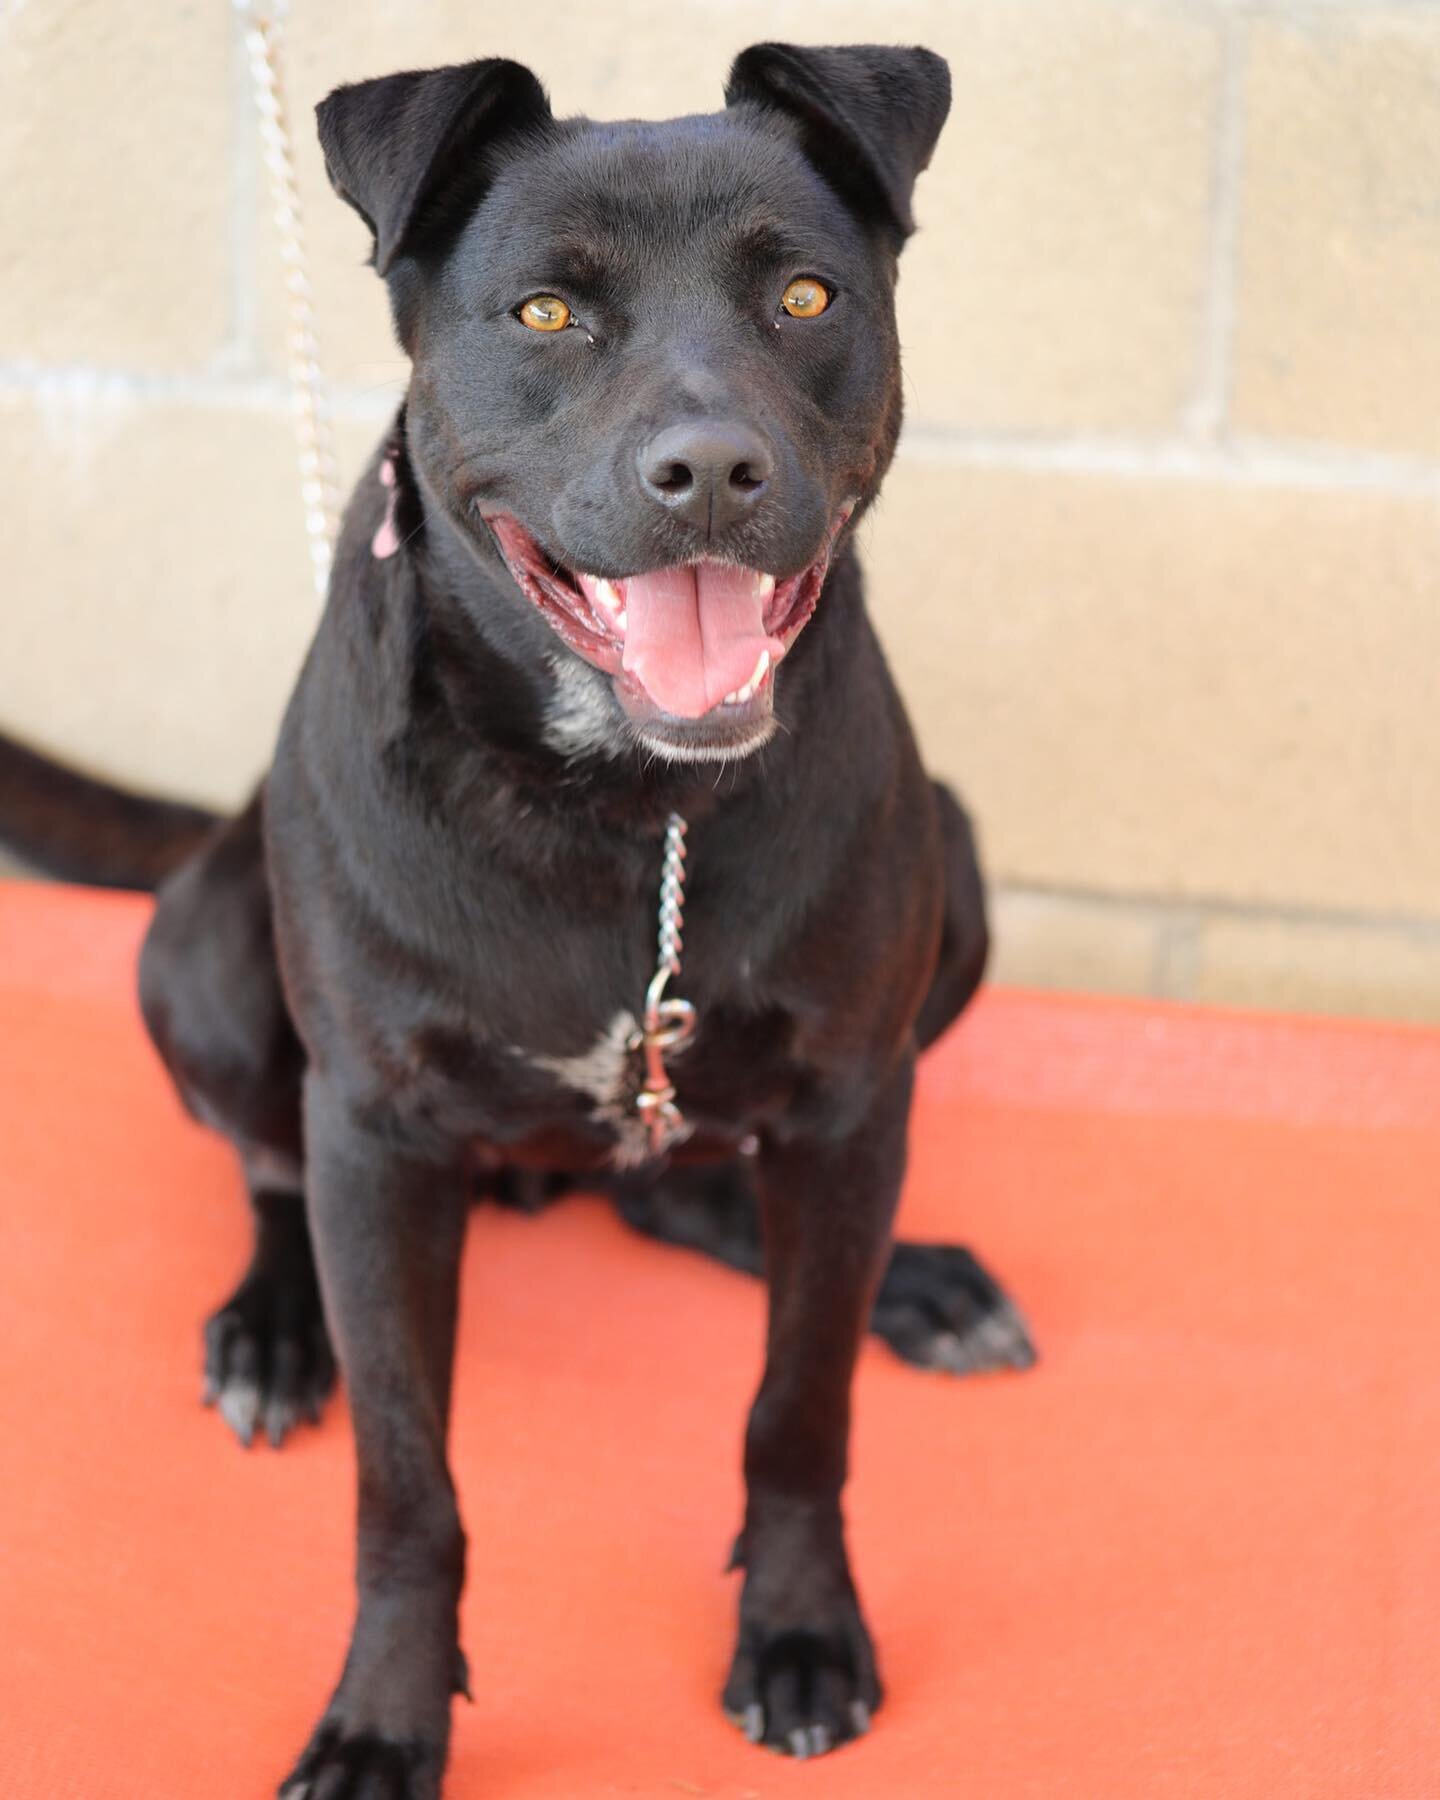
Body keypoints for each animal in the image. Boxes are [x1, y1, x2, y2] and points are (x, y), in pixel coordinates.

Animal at [0, 42, 1036, 1800]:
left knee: (696, 1194)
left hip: (946, 889)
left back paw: (908, 1278)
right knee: (271, 1163)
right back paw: (275, 1328)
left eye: (806, 297)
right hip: (201, 946)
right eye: (547, 313)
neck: (621, 802)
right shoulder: (378, 1129)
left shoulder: (851, 1095)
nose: (710, 473)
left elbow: (800, 1405)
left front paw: (800, 1623)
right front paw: (382, 1715)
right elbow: (407, 1487)